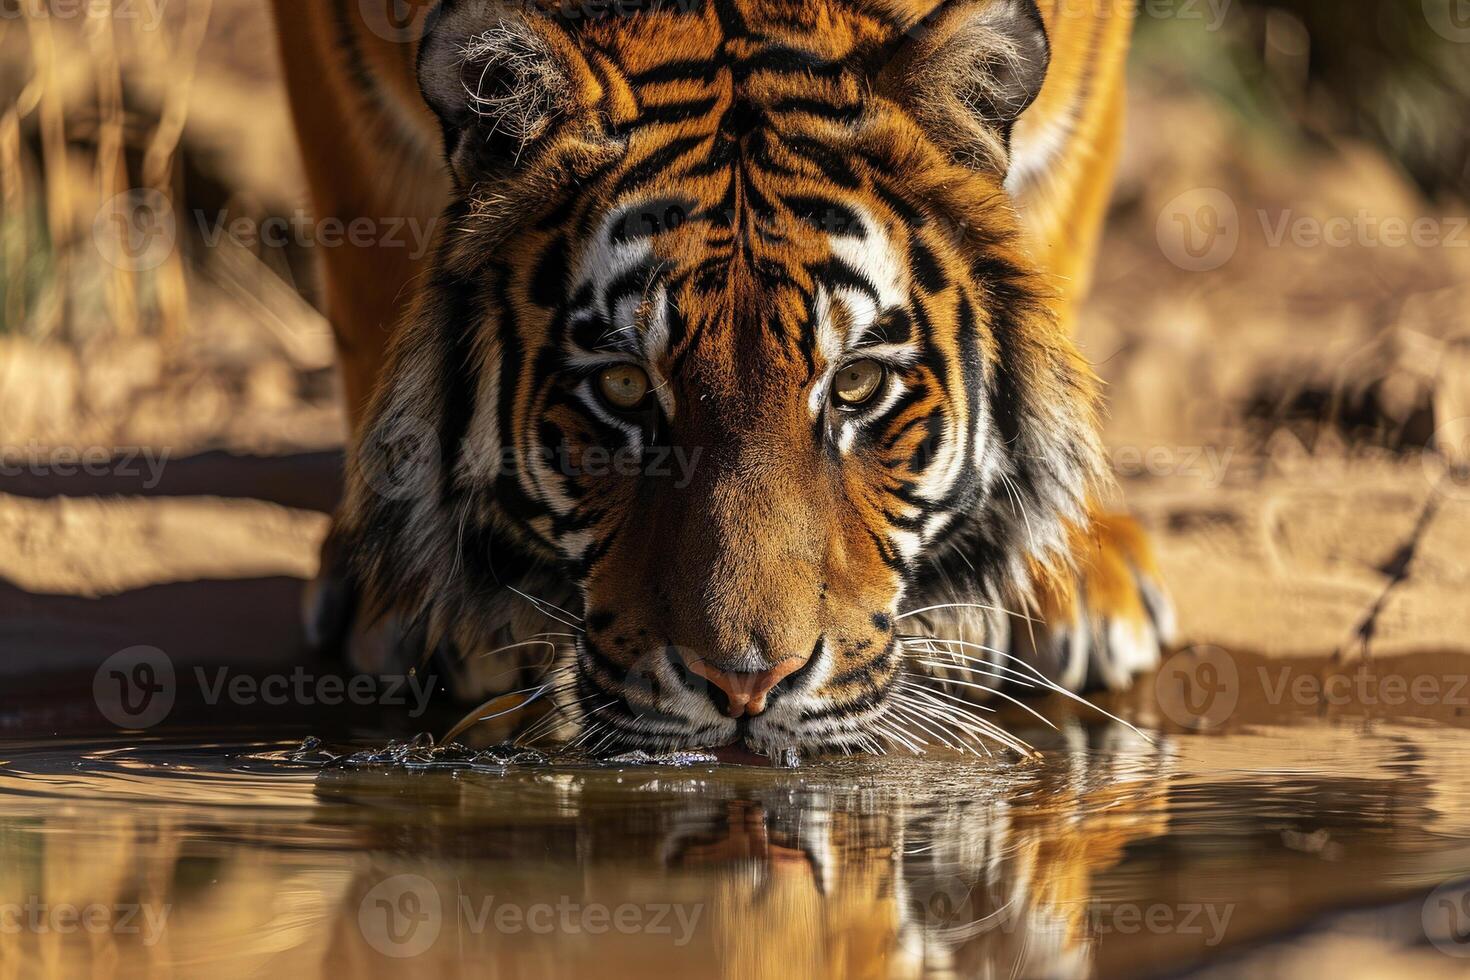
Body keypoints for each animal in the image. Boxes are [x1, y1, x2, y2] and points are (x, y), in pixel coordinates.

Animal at [270, 0, 1176, 758]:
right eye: (625, 388)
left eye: (854, 384)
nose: (747, 684)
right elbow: (368, 271)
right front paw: (411, 592)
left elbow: (1049, 243)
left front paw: (1056, 567)